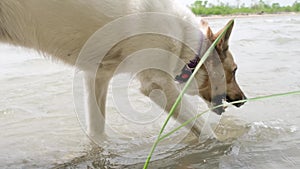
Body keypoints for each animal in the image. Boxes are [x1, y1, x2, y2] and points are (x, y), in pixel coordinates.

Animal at [0, 0, 246, 140]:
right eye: (234, 71)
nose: (243, 100)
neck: (189, 44)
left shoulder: (97, 76)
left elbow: (97, 133)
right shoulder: (157, 84)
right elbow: (206, 132)